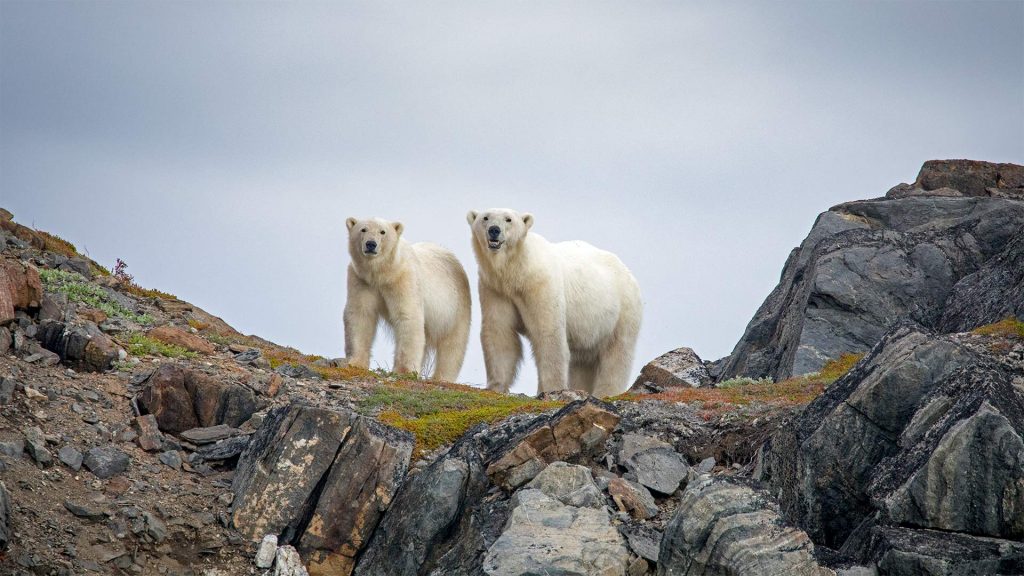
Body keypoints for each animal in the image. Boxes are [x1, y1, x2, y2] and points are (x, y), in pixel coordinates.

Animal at [344, 216, 471, 381]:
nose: (371, 244)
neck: (383, 274)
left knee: (453, 345)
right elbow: (360, 315)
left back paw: (441, 377)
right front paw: (355, 363)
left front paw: (404, 371)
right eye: (363, 229)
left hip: (455, 307)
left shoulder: (404, 279)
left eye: (382, 232)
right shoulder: (362, 280)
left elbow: (408, 317)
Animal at [468, 207, 643, 393]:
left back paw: (606, 392)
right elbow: (500, 332)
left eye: (508, 219)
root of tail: (628, 272)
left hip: (622, 312)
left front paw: (552, 389)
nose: (494, 230)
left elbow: (549, 334)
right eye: (485, 218)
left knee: (617, 355)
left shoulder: (541, 285)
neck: (518, 271)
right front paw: (495, 386)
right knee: (583, 362)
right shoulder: (496, 289)